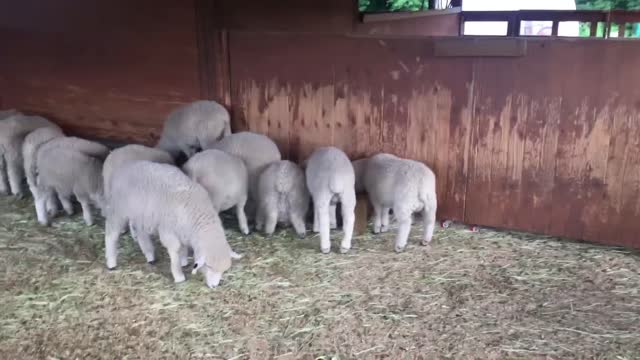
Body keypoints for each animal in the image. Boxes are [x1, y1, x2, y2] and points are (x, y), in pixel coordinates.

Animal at [105, 162, 240, 288]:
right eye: (209, 266)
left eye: (224, 270)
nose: (214, 286)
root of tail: (125, 166)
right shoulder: (168, 231)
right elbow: (175, 250)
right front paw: (178, 275)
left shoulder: (184, 231)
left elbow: (183, 248)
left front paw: (184, 261)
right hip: (118, 210)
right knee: (111, 233)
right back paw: (111, 262)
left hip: (140, 214)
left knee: (141, 233)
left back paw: (150, 255)